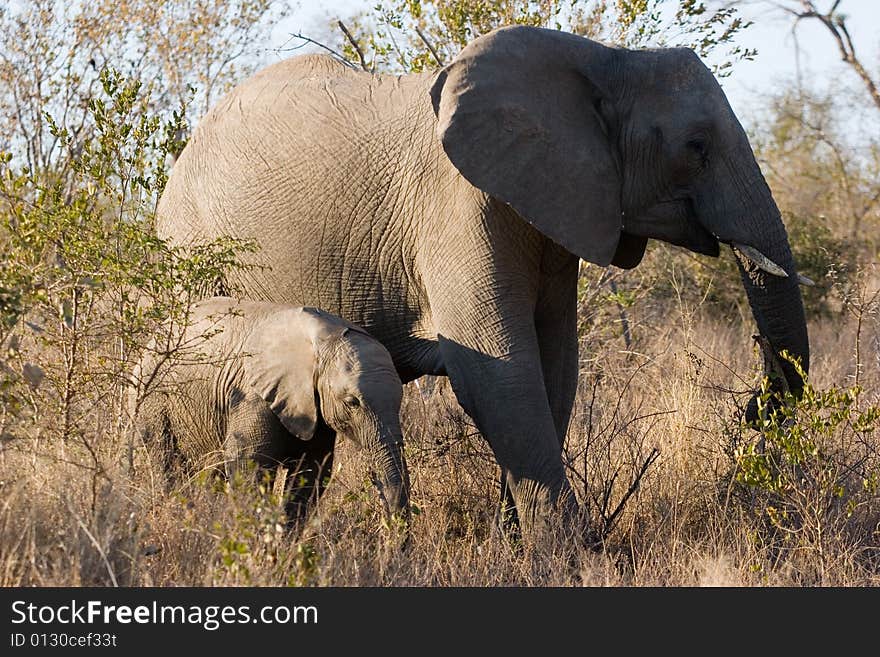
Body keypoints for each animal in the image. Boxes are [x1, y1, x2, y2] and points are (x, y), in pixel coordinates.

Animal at [132, 298, 410, 524]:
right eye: (352, 402)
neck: (325, 338)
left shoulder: (314, 408)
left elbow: (311, 472)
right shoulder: (253, 396)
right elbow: (248, 465)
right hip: (153, 402)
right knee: (165, 463)